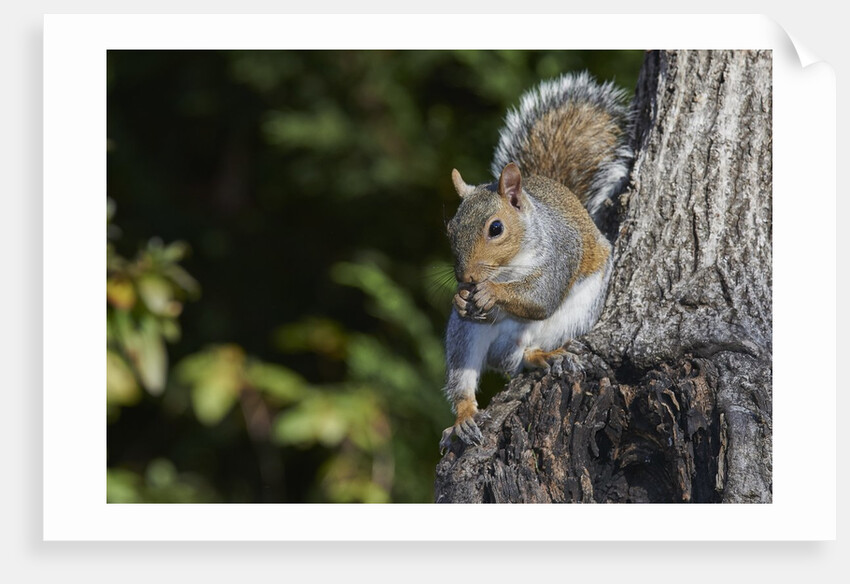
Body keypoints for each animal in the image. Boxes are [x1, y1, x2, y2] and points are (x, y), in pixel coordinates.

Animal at [440, 72, 633, 452]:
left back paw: (543, 356)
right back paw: (464, 417)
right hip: (465, 333)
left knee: (518, 359)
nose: (467, 278)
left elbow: (541, 297)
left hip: (569, 317)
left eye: (495, 228)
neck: (507, 267)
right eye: (450, 228)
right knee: (468, 375)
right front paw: (461, 297)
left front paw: (491, 293)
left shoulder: (561, 253)